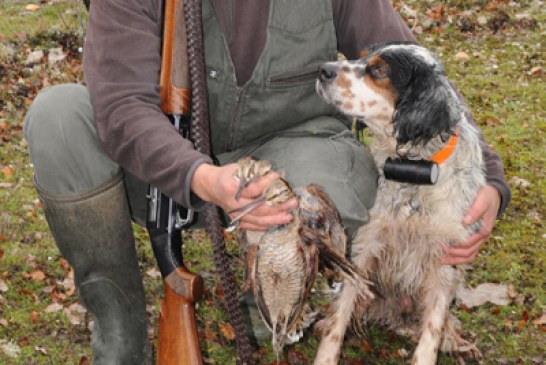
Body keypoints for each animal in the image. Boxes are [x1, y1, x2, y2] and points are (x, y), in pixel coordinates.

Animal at [312, 43, 482, 364]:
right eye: (362, 57)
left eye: (379, 70)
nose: (322, 69)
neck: (414, 171)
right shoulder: (366, 243)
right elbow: (341, 311)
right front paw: (326, 356)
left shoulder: (446, 258)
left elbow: (432, 329)